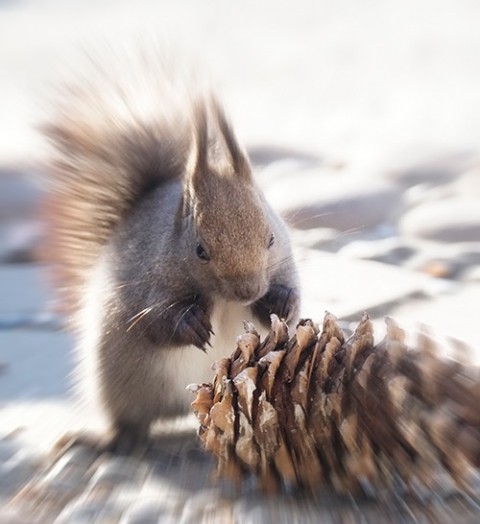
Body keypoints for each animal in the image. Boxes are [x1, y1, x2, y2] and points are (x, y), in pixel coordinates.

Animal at [44, 47, 300, 452]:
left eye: (271, 238)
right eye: (200, 250)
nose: (248, 291)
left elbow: (291, 302)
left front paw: (280, 301)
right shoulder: (146, 280)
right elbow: (156, 321)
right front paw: (191, 324)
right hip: (120, 386)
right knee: (127, 424)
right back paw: (104, 439)